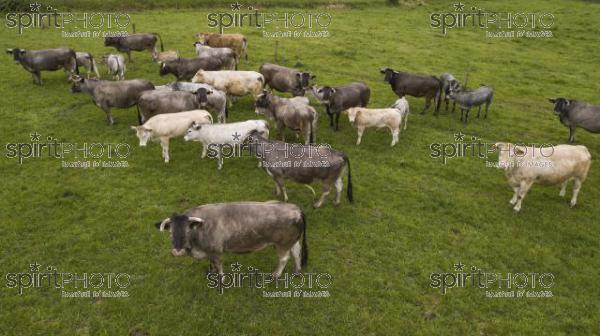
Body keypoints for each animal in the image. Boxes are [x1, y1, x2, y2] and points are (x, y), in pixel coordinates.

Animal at [155, 201, 308, 276]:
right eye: (170, 232)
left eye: (187, 230)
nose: (178, 251)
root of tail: (295, 208)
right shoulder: (210, 251)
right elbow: (212, 264)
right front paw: (210, 272)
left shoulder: (216, 251)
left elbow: (219, 267)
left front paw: (220, 281)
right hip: (291, 241)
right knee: (297, 252)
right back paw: (297, 270)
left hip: (283, 243)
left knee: (284, 258)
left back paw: (275, 275)